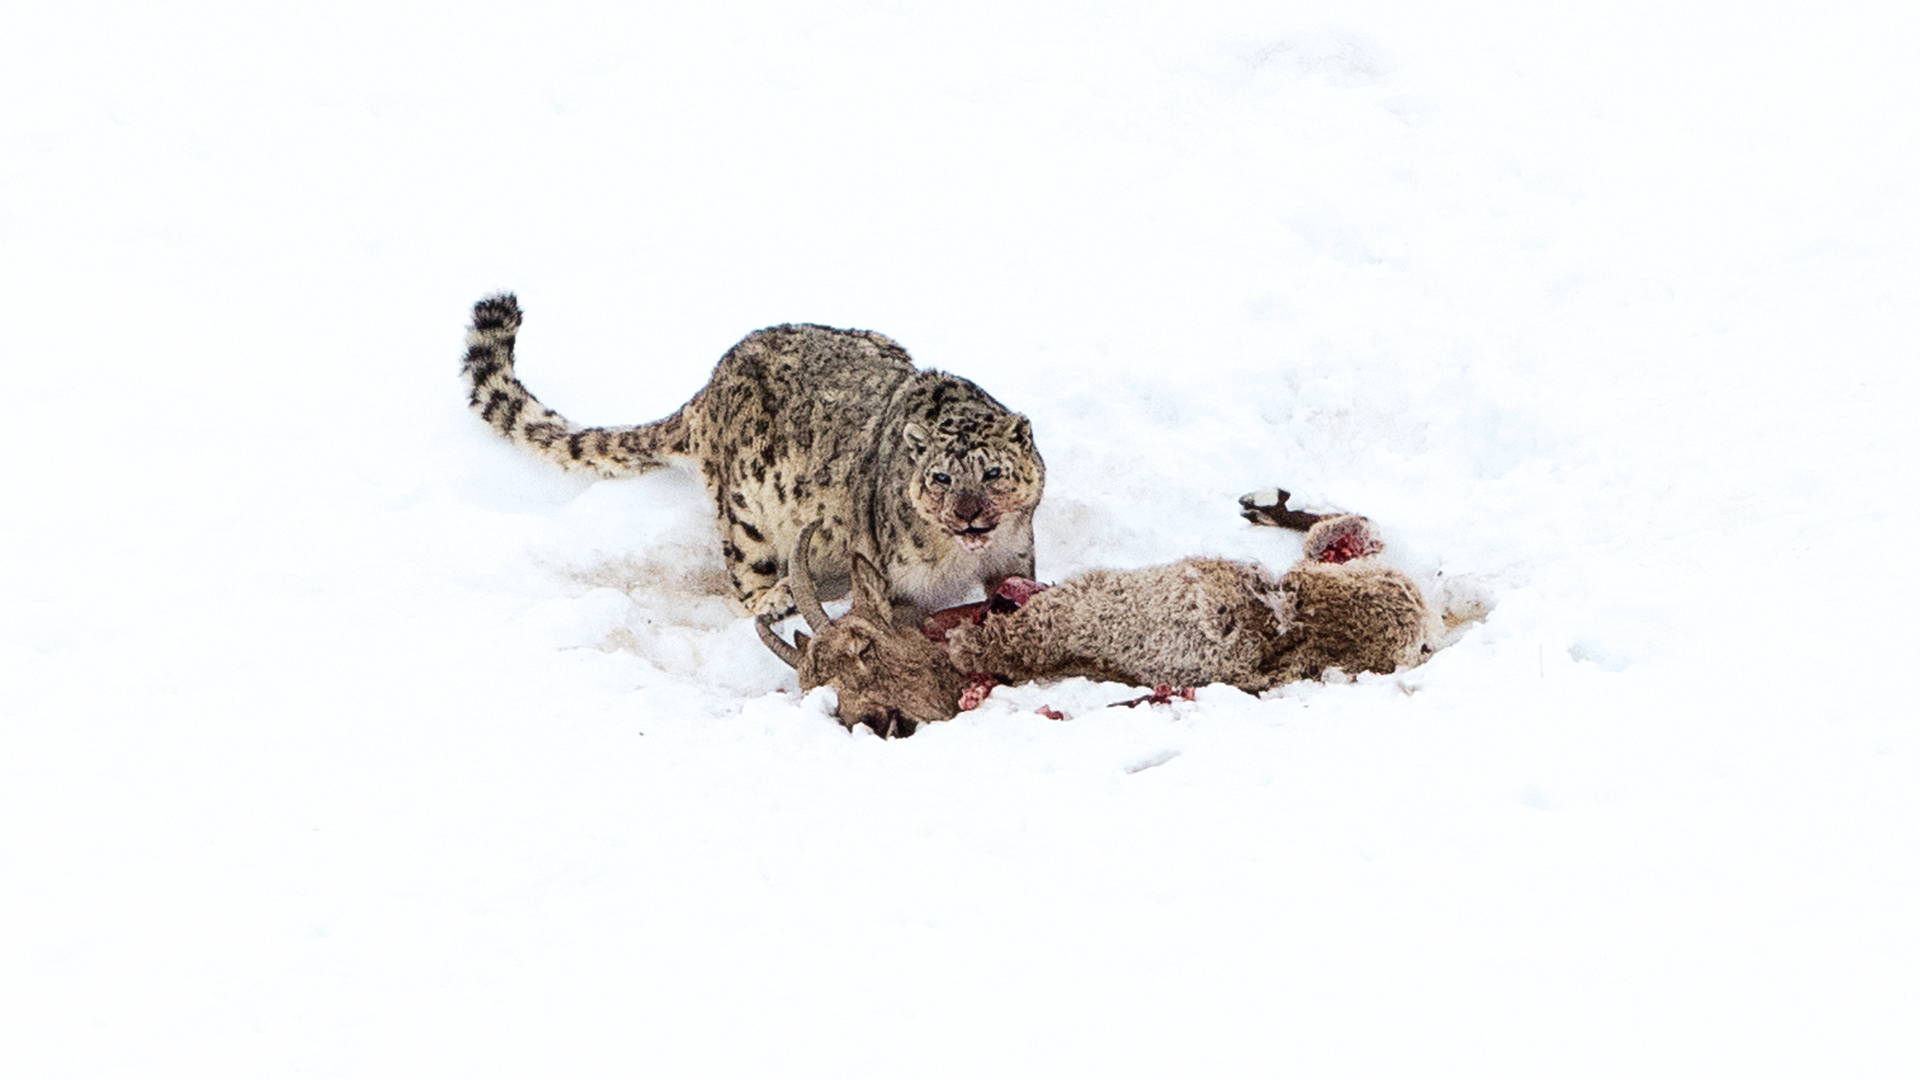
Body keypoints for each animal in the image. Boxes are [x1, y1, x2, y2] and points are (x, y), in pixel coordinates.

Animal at [458, 290, 1044, 618]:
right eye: (941, 478)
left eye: (993, 472)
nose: (968, 517)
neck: (957, 559)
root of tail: (715, 380)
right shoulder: (880, 571)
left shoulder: (1015, 554)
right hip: (746, 510)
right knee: (743, 570)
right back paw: (772, 597)